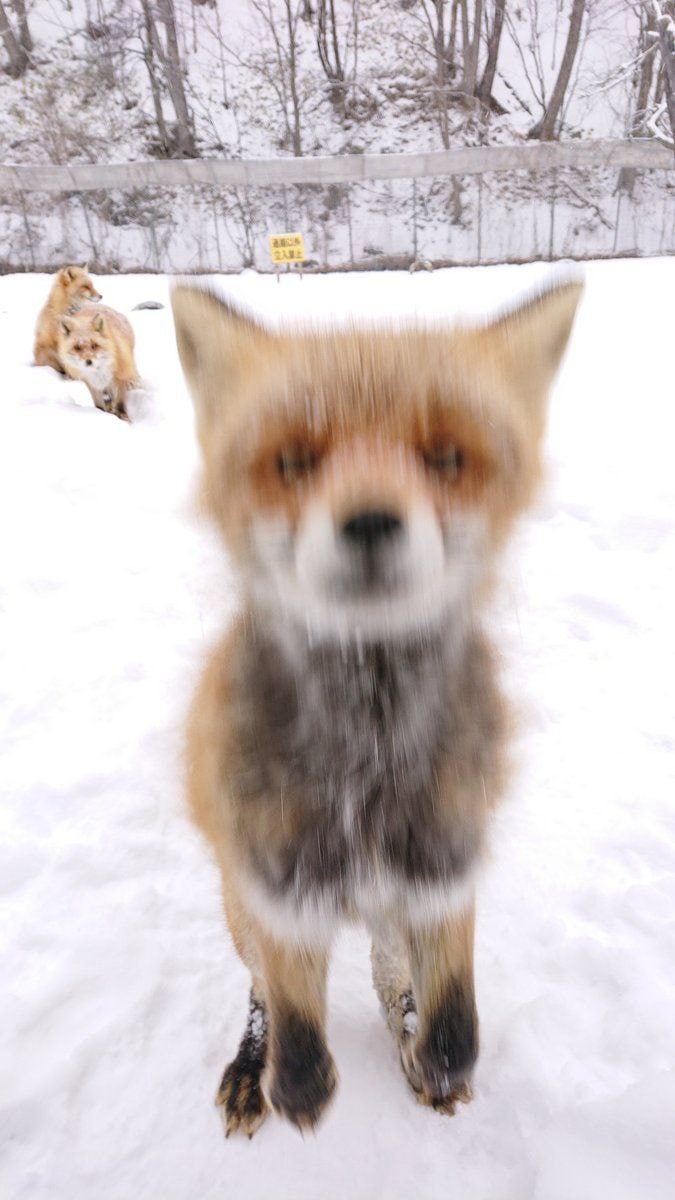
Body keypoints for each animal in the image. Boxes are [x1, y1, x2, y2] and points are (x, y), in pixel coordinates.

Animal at [170, 278, 582, 1137]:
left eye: (446, 456)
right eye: (294, 460)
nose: (367, 521)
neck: (366, 763)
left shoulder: (444, 866)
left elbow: (458, 1014)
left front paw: (438, 1058)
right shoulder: (279, 888)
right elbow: (293, 1009)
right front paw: (294, 1084)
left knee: (385, 964)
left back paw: (404, 1024)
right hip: (239, 901)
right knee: (262, 986)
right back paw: (254, 1065)